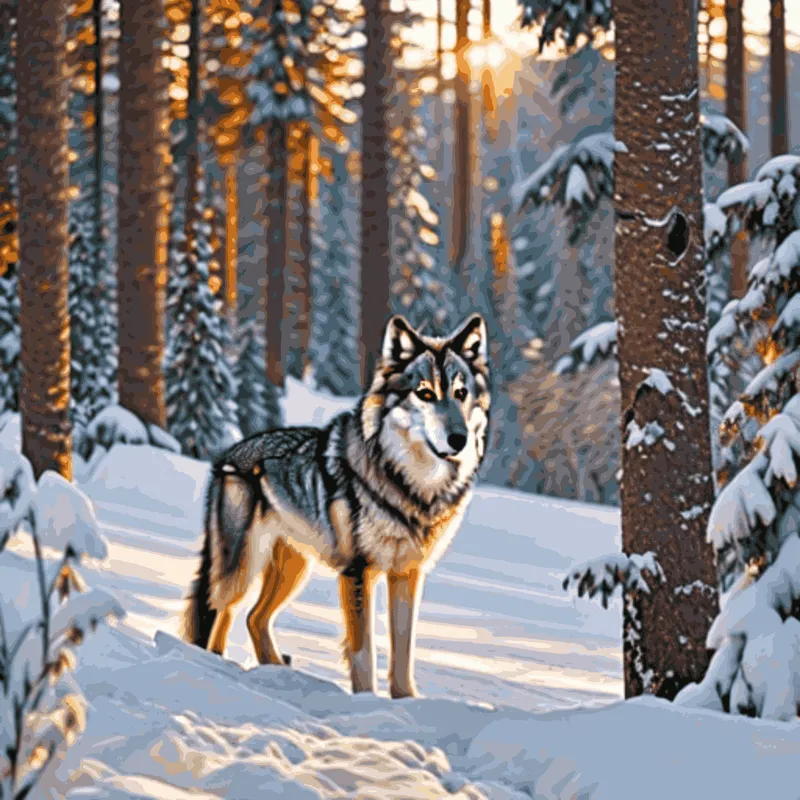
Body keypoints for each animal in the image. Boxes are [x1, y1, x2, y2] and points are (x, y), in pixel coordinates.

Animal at [182, 313, 491, 698]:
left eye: (461, 394)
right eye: (425, 393)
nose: (458, 439)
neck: (410, 486)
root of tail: (227, 454)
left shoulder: (407, 573)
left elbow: (403, 651)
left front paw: (405, 701)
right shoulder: (358, 571)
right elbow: (363, 652)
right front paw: (367, 702)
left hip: (292, 569)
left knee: (253, 618)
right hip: (240, 568)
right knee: (216, 614)